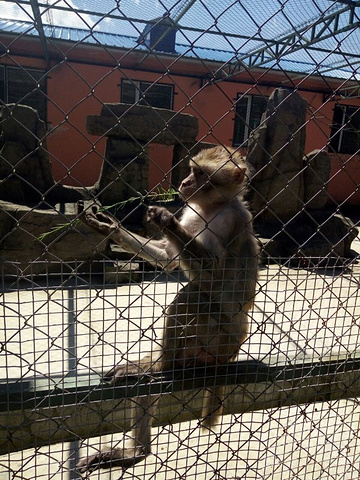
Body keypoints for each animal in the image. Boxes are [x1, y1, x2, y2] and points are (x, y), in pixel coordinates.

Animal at [77, 145, 260, 472]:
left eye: (199, 173)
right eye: (191, 170)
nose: (185, 183)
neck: (211, 207)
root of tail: (231, 354)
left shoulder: (228, 220)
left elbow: (212, 271)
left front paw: (165, 219)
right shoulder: (193, 210)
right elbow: (168, 257)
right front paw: (108, 226)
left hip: (219, 342)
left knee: (194, 297)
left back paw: (163, 366)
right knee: (147, 389)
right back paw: (136, 451)